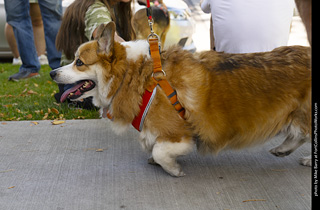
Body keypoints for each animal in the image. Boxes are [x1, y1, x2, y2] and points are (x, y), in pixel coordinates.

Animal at [50, 22, 310, 176]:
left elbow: (159, 151)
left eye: (79, 62)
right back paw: (283, 150)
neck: (136, 75)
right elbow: (154, 148)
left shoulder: (180, 135)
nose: (52, 73)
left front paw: (174, 169)